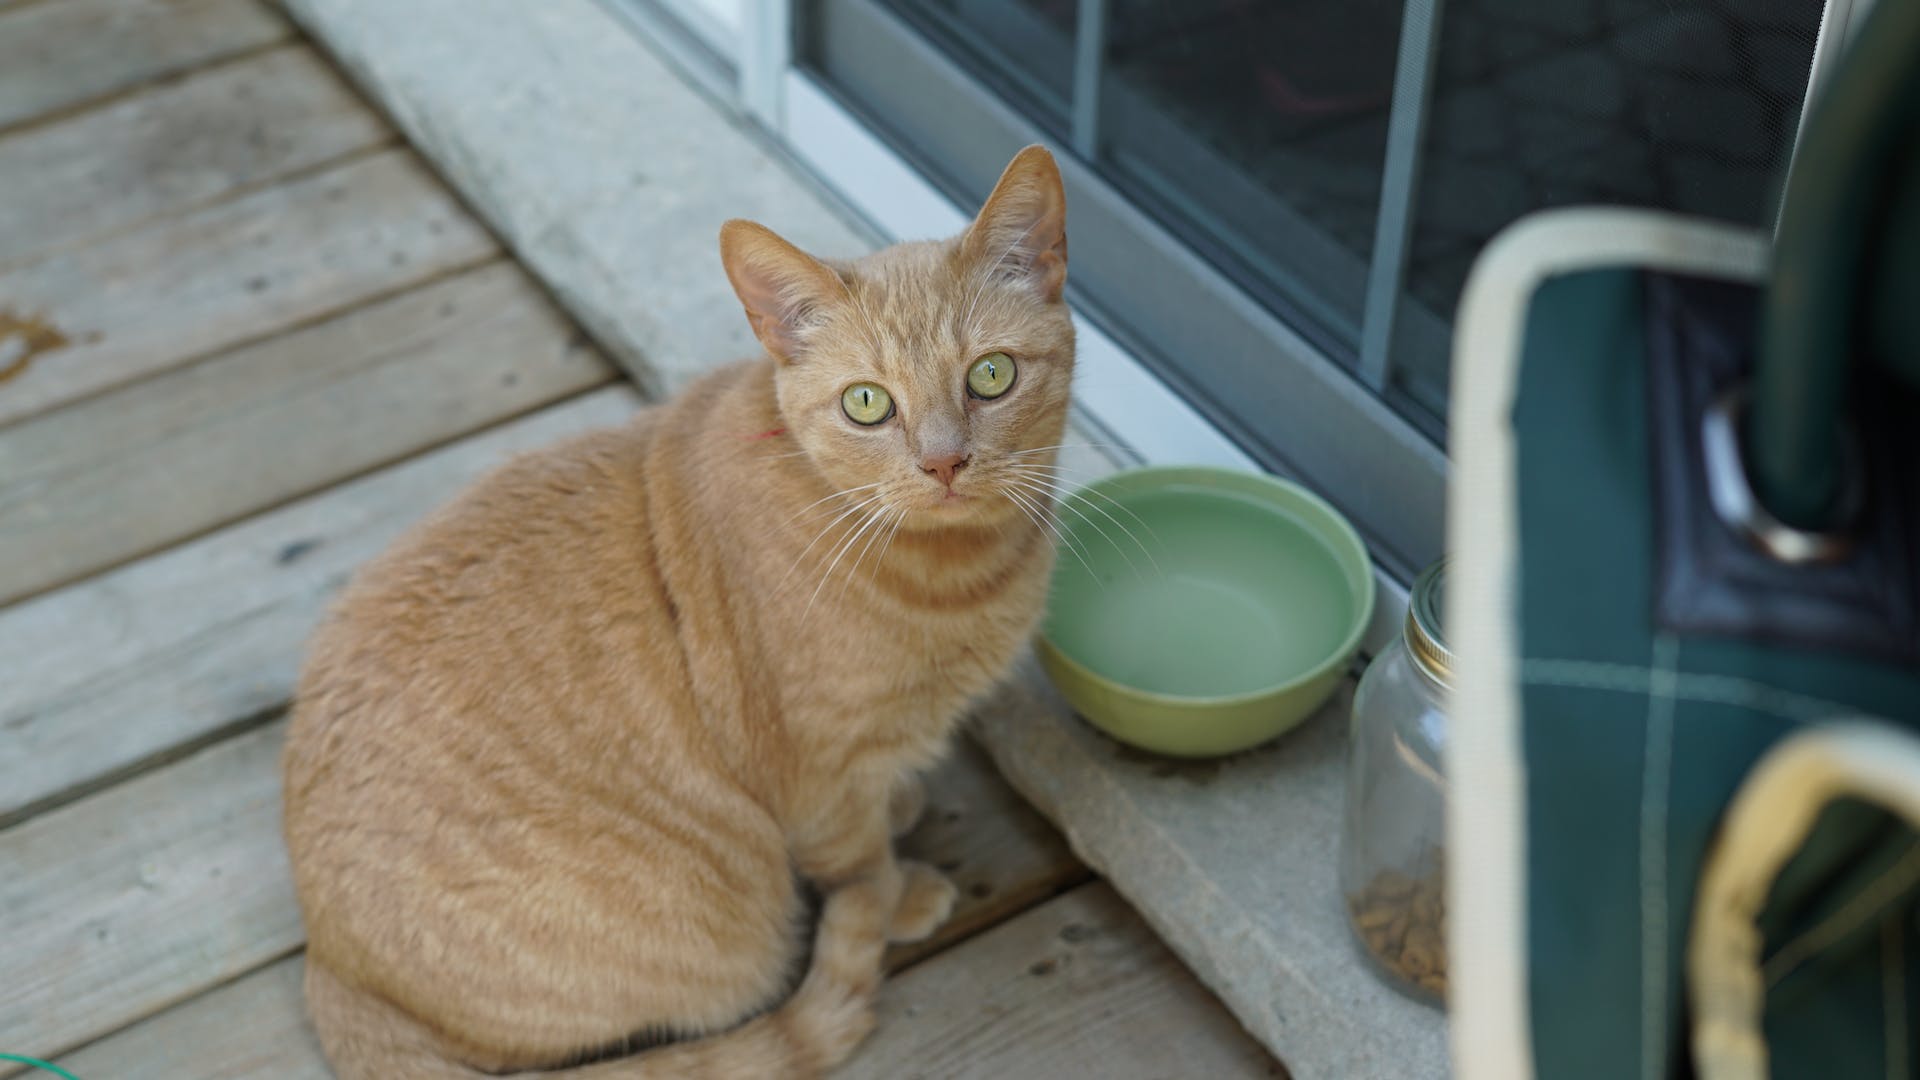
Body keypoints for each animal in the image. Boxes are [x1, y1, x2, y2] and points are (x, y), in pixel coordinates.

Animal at [280, 145, 1075, 1076]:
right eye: (867, 403)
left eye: (991, 375)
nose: (944, 462)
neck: (958, 571)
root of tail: (328, 963)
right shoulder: (817, 771)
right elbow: (858, 860)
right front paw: (898, 890)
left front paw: (905, 809)